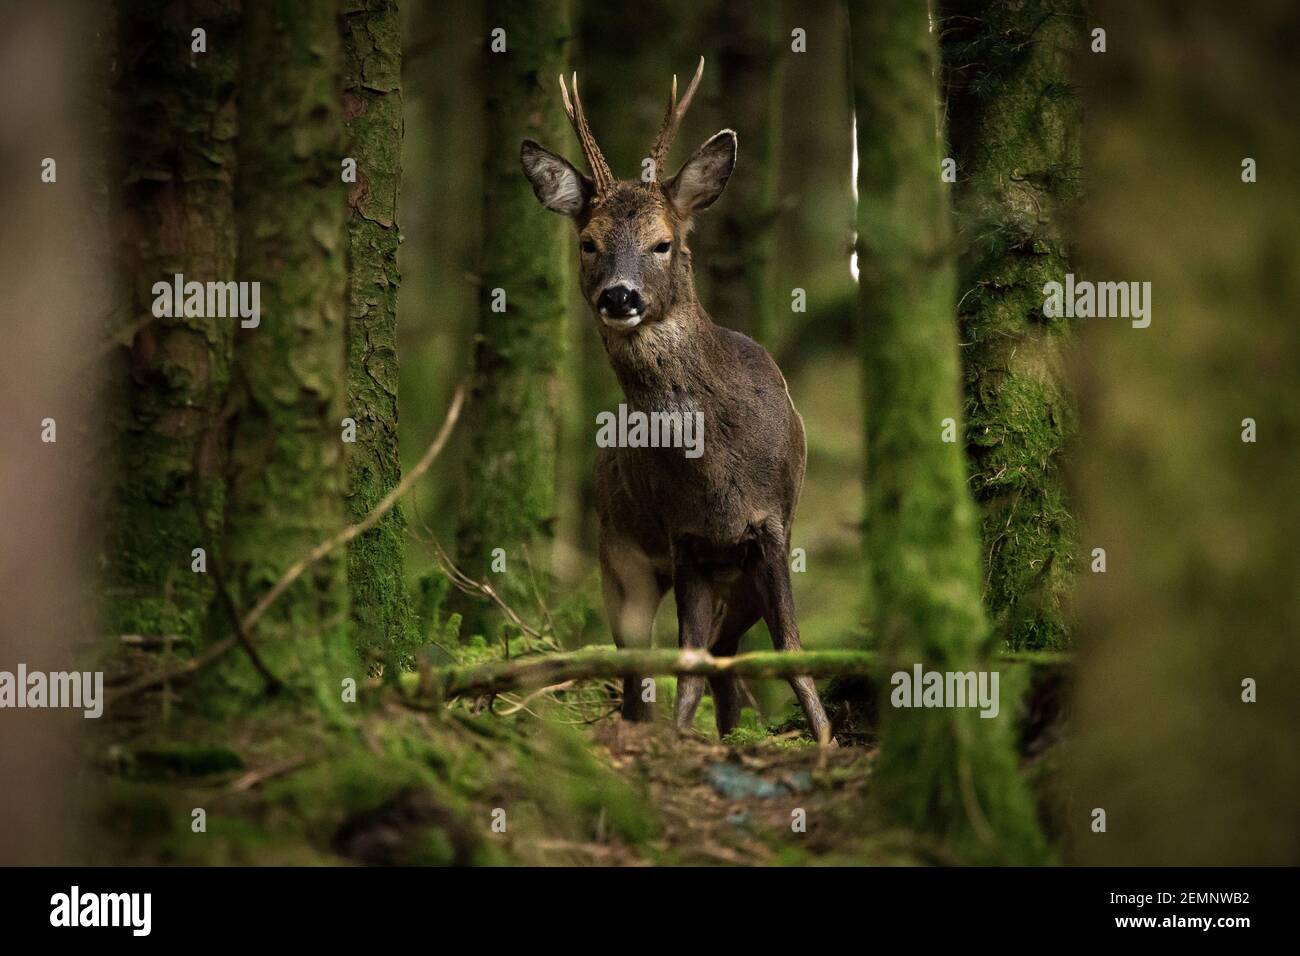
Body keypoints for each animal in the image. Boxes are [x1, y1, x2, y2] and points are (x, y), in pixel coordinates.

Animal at [520, 58, 831, 744]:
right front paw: (680, 740)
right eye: (588, 242)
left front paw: (824, 738)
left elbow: (793, 654)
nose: (620, 296)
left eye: (663, 242)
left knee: (727, 660)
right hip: (618, 551)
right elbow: (683, 666)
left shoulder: (772, 527)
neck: (717, 470)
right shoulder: (683, 535)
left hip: (732, 583)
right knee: (644, 665)